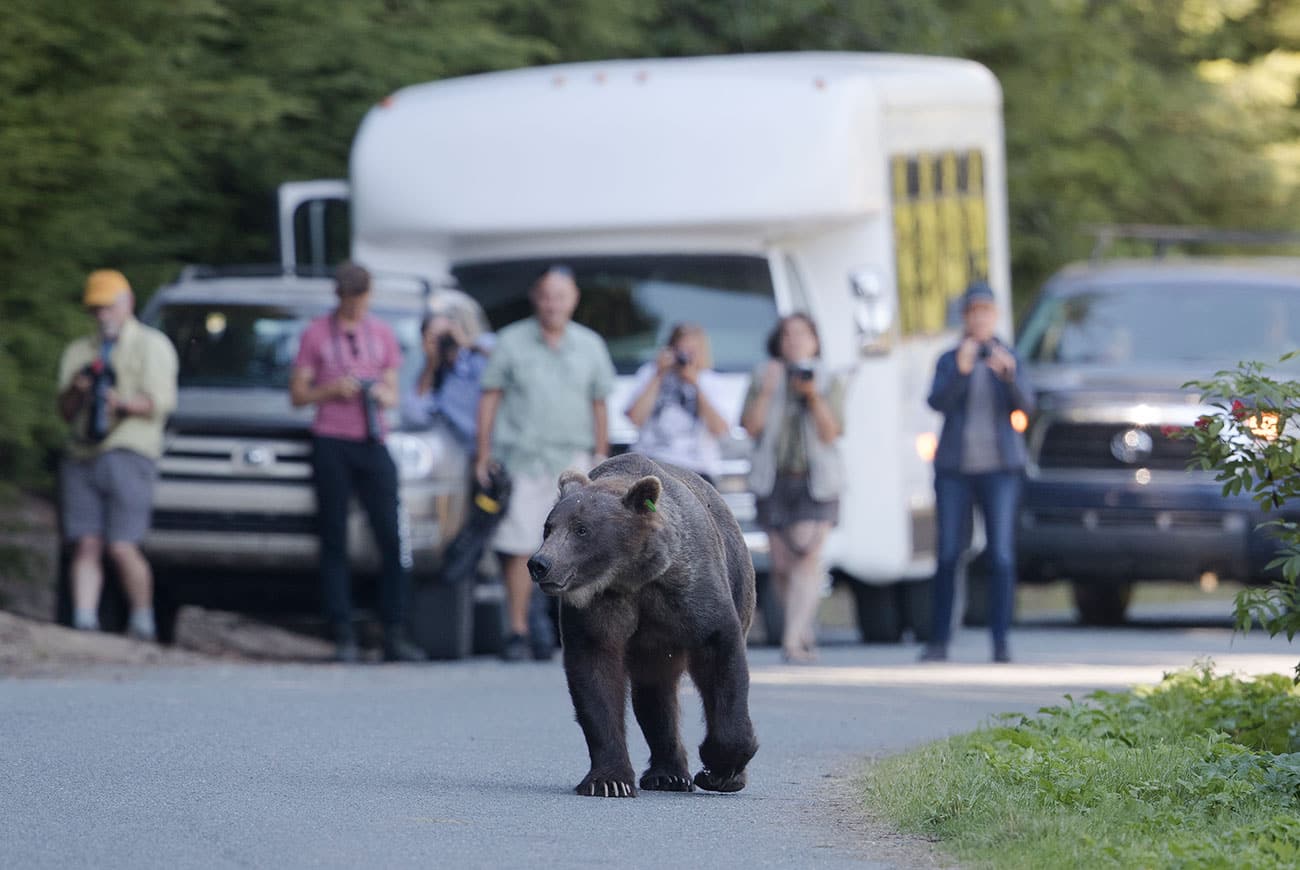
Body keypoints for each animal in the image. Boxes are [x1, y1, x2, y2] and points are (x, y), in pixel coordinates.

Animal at [527, 452, 759, 798]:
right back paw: (668, 774)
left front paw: (719, 769)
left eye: (582, 529)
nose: (540, 563)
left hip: (737, 581)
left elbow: (720, 655)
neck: (632, 575)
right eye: (548, 527)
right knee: (654, 694)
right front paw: (609, 780)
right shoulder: (599, 608)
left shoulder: (691, 593)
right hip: (653, 646)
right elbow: (596, 676)